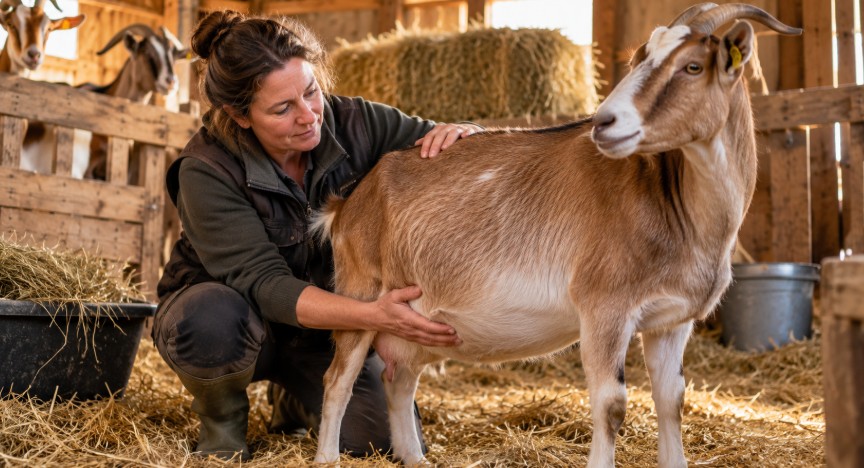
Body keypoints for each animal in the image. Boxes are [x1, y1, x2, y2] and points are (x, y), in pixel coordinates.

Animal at [311, 3, 801, 467]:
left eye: (693, 66)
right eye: (639, 58)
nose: (604, 122)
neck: (676, 208)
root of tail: (350, 201)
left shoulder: (672, 322)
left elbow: (671, 401)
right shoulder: (603, 307)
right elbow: (611, 405)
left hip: (416, 323)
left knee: (400, 381)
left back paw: (415, 458)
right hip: (362, 295)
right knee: (337, 380)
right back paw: (328, 458)